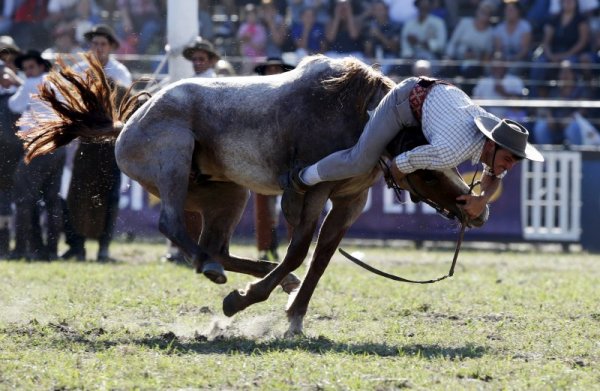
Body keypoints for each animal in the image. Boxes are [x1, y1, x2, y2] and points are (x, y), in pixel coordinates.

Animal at [21, 53, 486, 338]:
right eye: (428, 174)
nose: (475, 213)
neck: (357, 117)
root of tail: (127, 124)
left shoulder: (349, 202)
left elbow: (319, 259)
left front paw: (294, 316)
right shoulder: (309, 194)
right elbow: (298, 251)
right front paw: (243, 302)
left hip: (228, 195)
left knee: (217, 247)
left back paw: (234, 270)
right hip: (173, 160)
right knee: (173, 224)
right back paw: (217, 273)